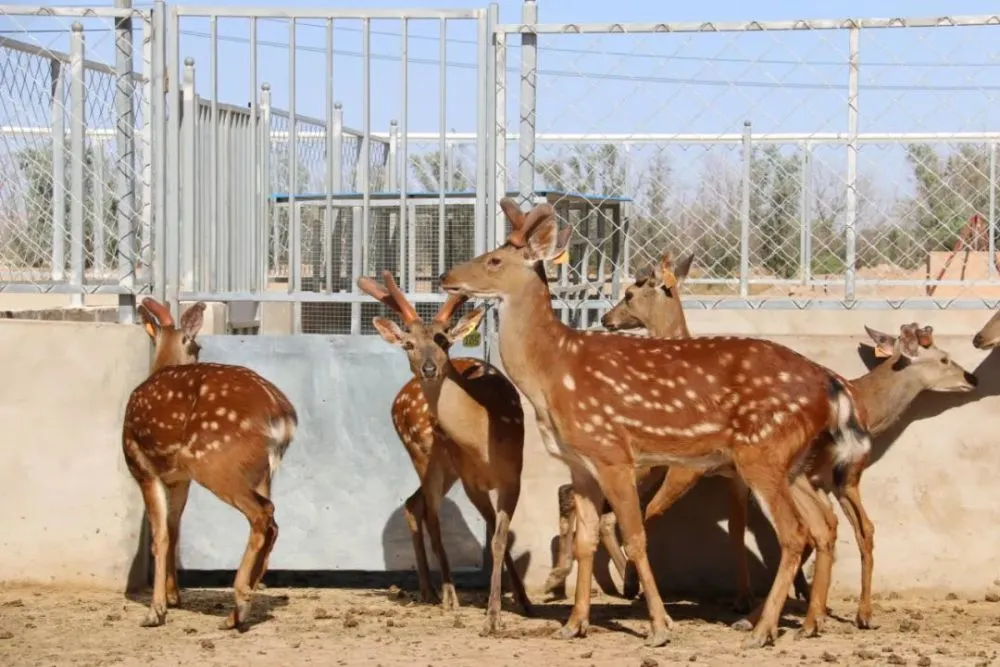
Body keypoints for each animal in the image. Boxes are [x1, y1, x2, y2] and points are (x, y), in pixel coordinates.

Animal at [121, 298, 296, 632]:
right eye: (199, 346)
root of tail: (281, 413)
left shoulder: (142, 467)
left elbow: (160, 537)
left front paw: (155, 611)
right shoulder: (179, 479)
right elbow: (174, 528)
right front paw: (174, 597)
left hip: (215, 461)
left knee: (262, 514)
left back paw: (239, 602)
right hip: (261, 471)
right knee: (274, 522)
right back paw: (240, 608)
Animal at [358, 272, 532, 636]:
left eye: (443, 339)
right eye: (408, 344)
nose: (427, 368)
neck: (484, 441)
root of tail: (400, 397)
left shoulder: (513, 475)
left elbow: (500, 538)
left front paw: (517, 603)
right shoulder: (472, 482)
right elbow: (490, 535)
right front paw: (492, 615)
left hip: (445, 468)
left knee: (414, 504)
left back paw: (428, 589)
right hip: (423, 453)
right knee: (430, 514)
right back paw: (447, 594)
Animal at [442, 197, 872, 648]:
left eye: (494, 260)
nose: (445, 277)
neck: (553, 373)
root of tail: (830, 382)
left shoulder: (613, 451)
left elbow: (635, 536)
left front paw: (660, 627)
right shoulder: (580, 463)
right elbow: (585, 540)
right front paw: (574, 624)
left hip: (763, 451)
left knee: (794, 533)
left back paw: (762, 630)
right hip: (794, 463)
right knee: (822, 525)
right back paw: (806, 623)